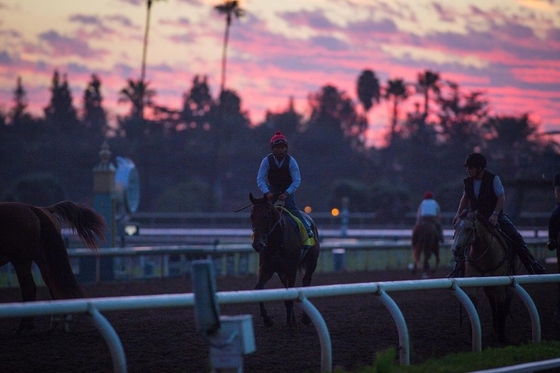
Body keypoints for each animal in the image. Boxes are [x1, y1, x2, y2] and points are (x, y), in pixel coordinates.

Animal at [0, 201, 106, 332]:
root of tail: (33, 208)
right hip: (43, 258)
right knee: (55, 285)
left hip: (21, 261)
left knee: (29, 287)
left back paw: (24, 327)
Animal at [248, 192, 322, 326]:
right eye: (252, 216)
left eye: (266, 216)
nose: (257, 244)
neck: (276, 242)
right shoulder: (267, 269)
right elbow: (259, 288)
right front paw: (267, 319)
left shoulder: (291, 269)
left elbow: (290, 296)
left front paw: (289, 324)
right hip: (281, 271)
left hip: (312, 262)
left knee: (306, 281)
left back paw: (305, 318)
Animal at [450, 211, 516, 342]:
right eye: (455, 227)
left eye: (469, 229)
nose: (455, 249)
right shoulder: (474, 280)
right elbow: (474, 301)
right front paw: (473, 334)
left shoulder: (500, 284)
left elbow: (500, 304)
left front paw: (501, 335)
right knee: (492, 301)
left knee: (506, 301)